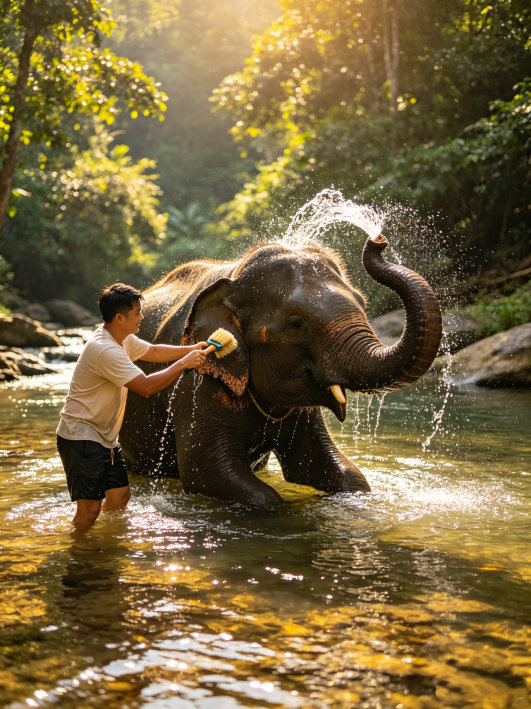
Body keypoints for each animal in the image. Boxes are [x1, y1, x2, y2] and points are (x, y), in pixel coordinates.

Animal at [120, 234, 442, 506]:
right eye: (296, 324)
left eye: (362, 303)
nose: (379, 240)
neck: (234, 276)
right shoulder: (198, 384)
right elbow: (209, 473)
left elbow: (331, 470)